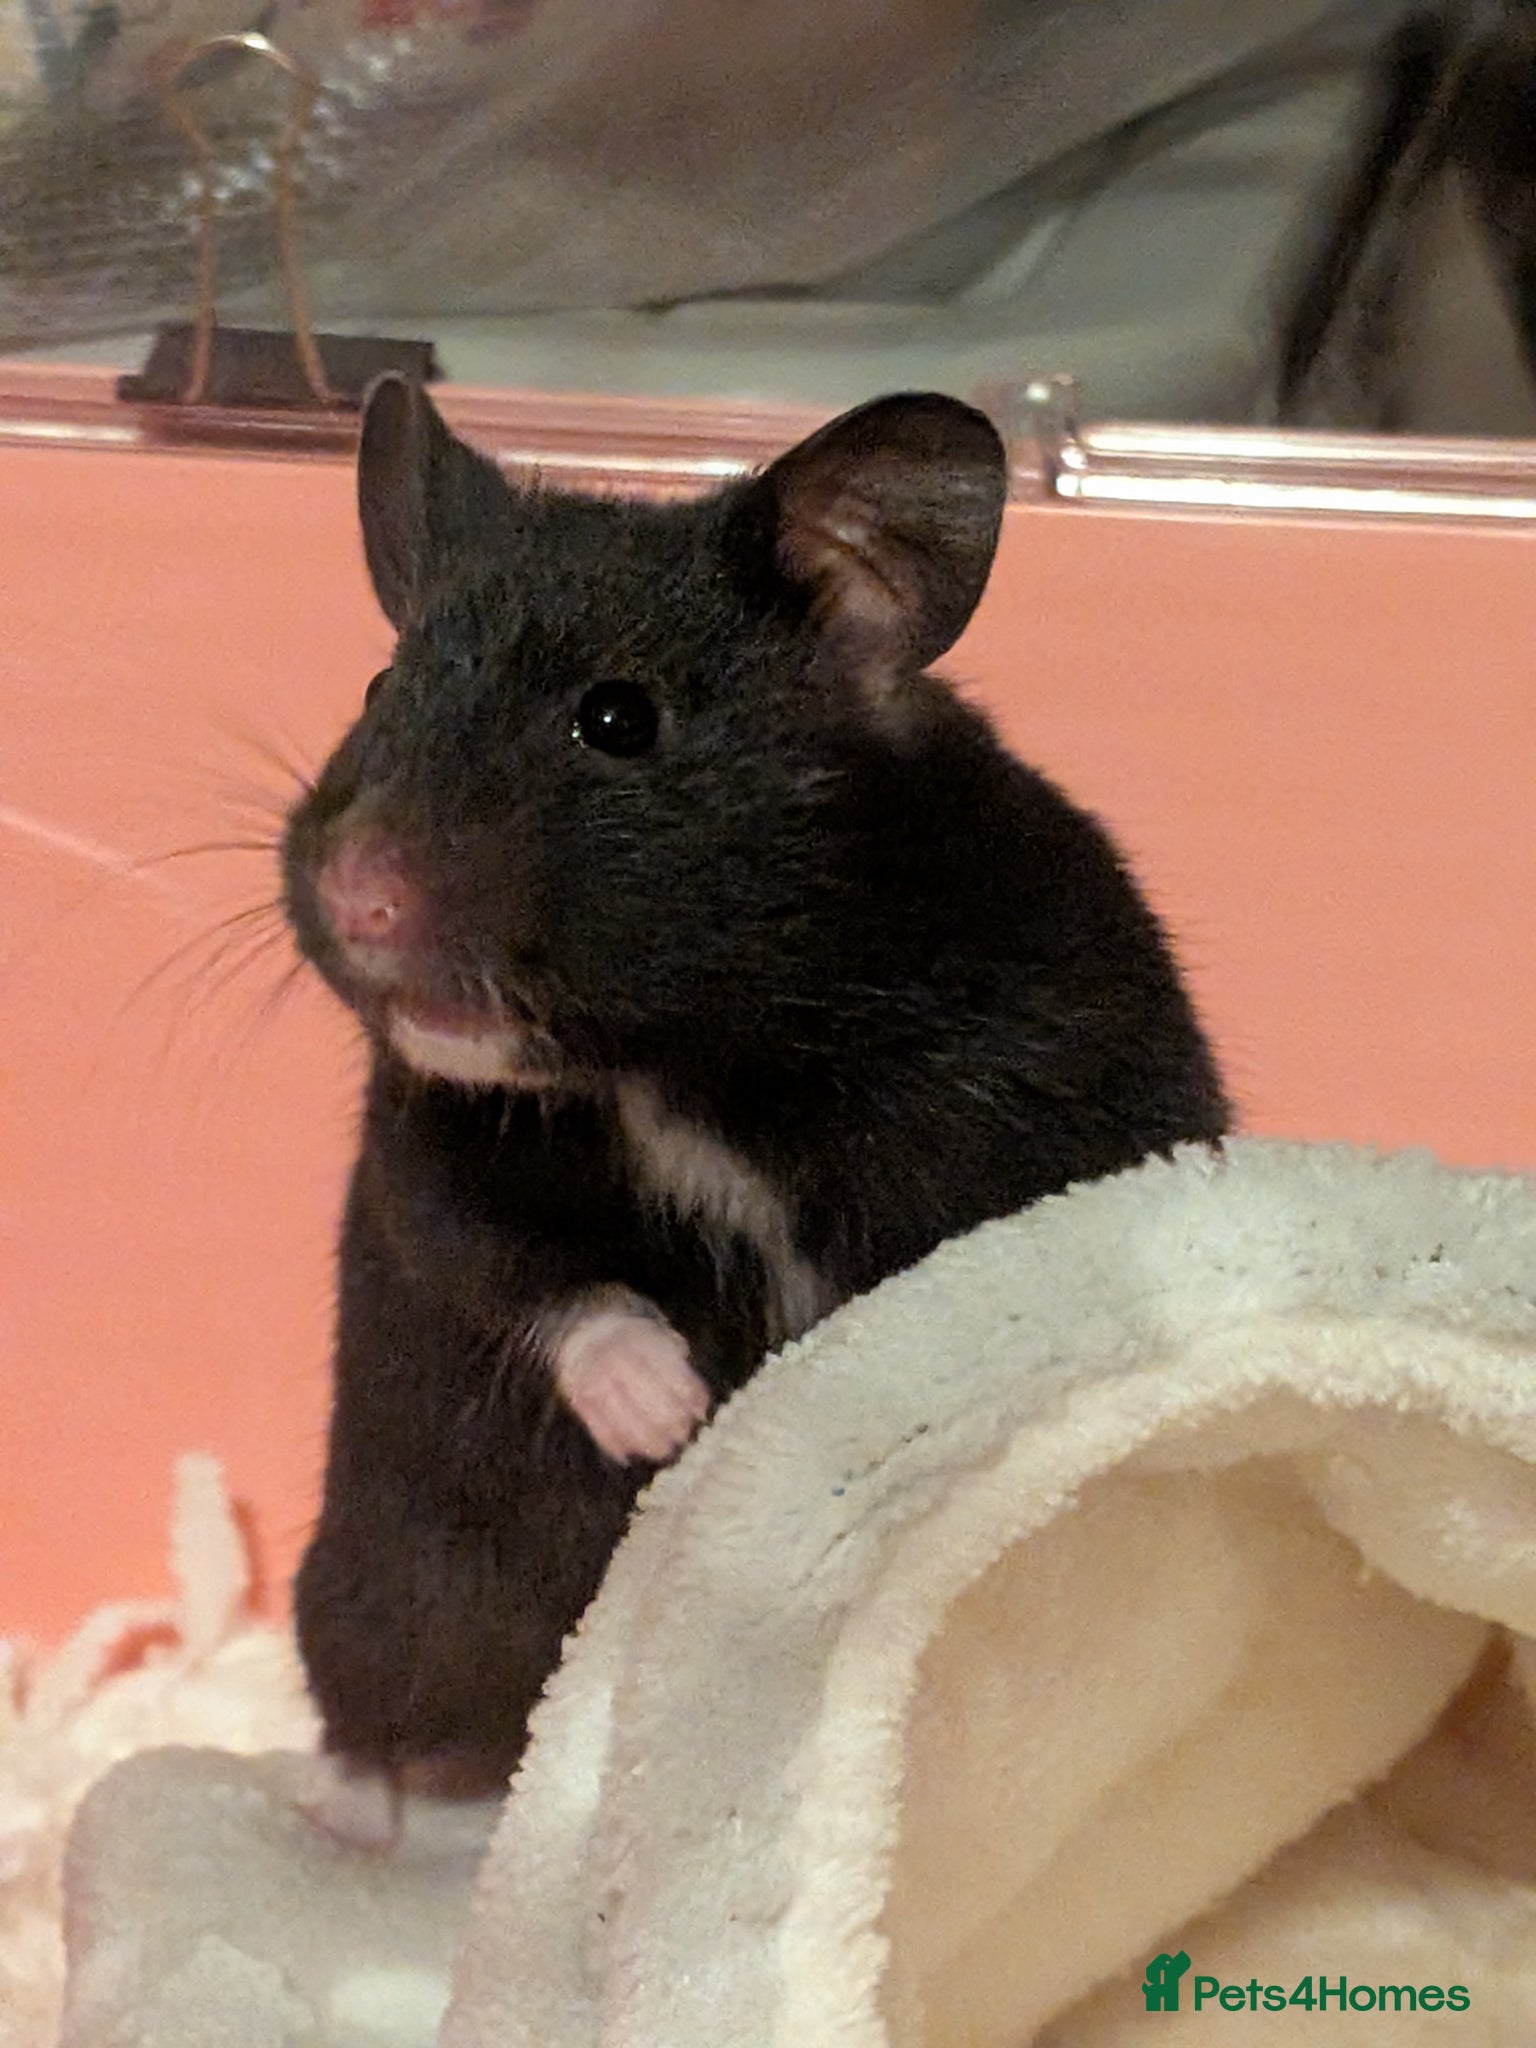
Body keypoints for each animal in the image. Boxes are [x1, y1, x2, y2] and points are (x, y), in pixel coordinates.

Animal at [281, 377, 1228, 1844]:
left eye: (618, 719)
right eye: (382, 686)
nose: (355, 896)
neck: (684, 1063)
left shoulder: (1021, 1097)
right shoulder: (430, 1147)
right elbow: (525, 1272)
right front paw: (667, 1414)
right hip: (379, 1582)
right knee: (370, 1703)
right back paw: (331, 1817)